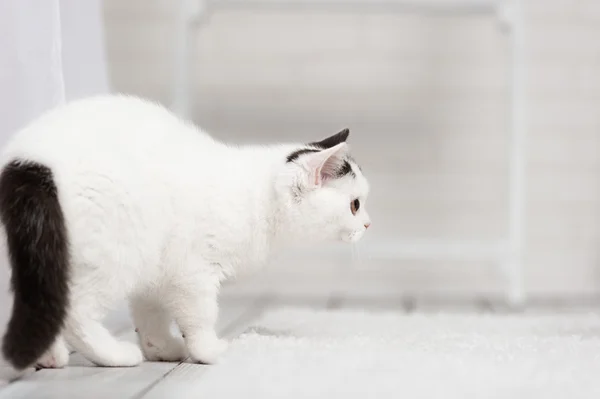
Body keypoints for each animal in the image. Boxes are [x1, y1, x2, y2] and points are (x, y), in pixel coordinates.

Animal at [0, 95, 370, 374]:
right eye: (355, 205)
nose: (368, 224)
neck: (257, 198)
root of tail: (28, 162)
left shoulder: (158, 271)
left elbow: (151, 313)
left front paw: (160, 347)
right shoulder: (193, 271)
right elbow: (202, 314)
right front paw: (208, 351)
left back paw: (48, 356)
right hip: (116, 254)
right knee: (75, 310)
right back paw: (113, 355)